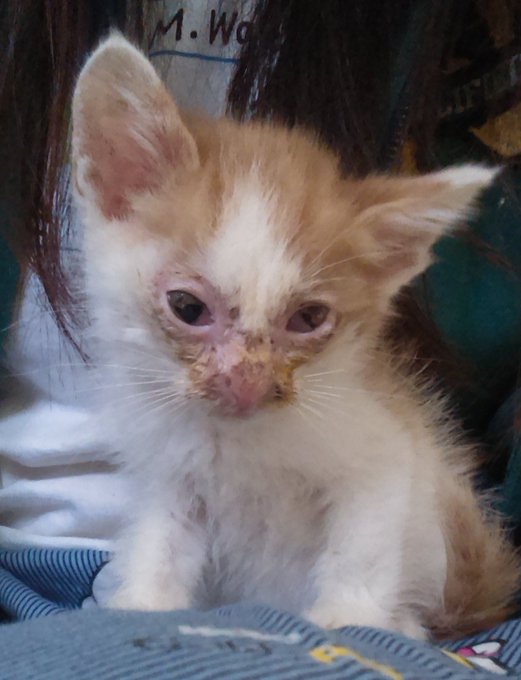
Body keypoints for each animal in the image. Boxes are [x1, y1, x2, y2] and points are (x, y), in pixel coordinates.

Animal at [71, 34, 520, 640]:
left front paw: (350, 620)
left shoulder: (385, 449)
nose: (245, 383)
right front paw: (140, 603)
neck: (237, 445)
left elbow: (365, 541)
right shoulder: (172, 478)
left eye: (308, 319)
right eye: (188, 308)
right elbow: (160, 542)